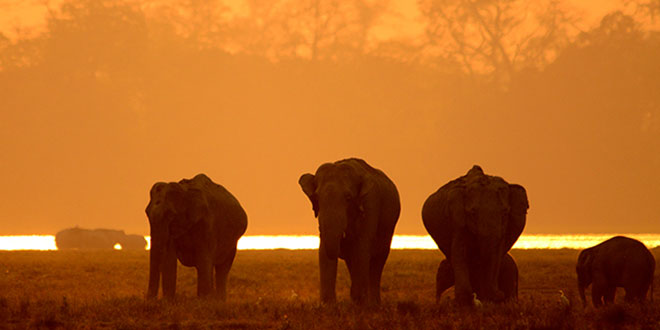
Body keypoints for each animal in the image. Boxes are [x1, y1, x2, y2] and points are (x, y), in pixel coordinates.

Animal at [300, 157, 402, 304]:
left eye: (348, 198)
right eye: (317, 198)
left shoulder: (370, 205)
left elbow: (362, 248)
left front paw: (360, 303)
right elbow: (324, 251)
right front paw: (328, 305)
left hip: (389, 226)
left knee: (378, 261)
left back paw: (374, 303)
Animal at [422, 166, 532, 306]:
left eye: (505, 213)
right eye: (473, 213)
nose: (499, 293)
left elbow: (497, 253)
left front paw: (488, 300)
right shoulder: (457, 220)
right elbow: (460, 252)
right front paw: (464, 302)